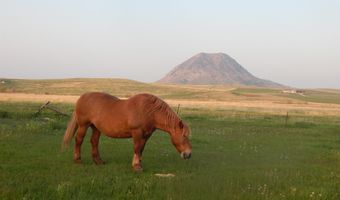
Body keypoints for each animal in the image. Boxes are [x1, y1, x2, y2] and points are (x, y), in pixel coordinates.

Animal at [62, 92, 191, 172]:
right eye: (184, 136)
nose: (188, 154)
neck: (149, 111)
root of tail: (82, 97)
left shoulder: (146, 135)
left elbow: (141, 149)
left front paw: (139, 164)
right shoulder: (137, 133)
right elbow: (137, 148)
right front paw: (136, 166)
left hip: (96, 128)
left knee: (94, 142)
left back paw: (98, 161)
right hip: (83, 126)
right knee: (78, 140)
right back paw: (78, 160)